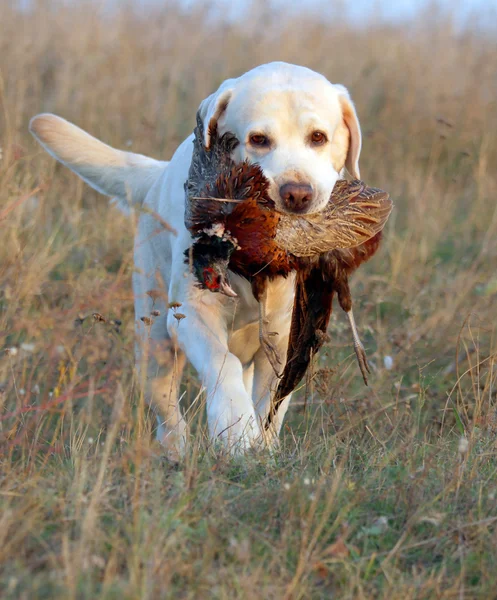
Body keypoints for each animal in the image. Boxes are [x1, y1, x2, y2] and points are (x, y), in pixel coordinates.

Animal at [31, 61, 360, 454]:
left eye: (318, 137)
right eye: (258, 140)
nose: (296, 194)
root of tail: (157, 176)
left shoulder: (284, 336)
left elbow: (272, 402)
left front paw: (262, 446)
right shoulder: (192, 313)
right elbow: (222, 362)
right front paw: (234, 428)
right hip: (154, 342)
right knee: (168, 415)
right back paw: (177, 452)